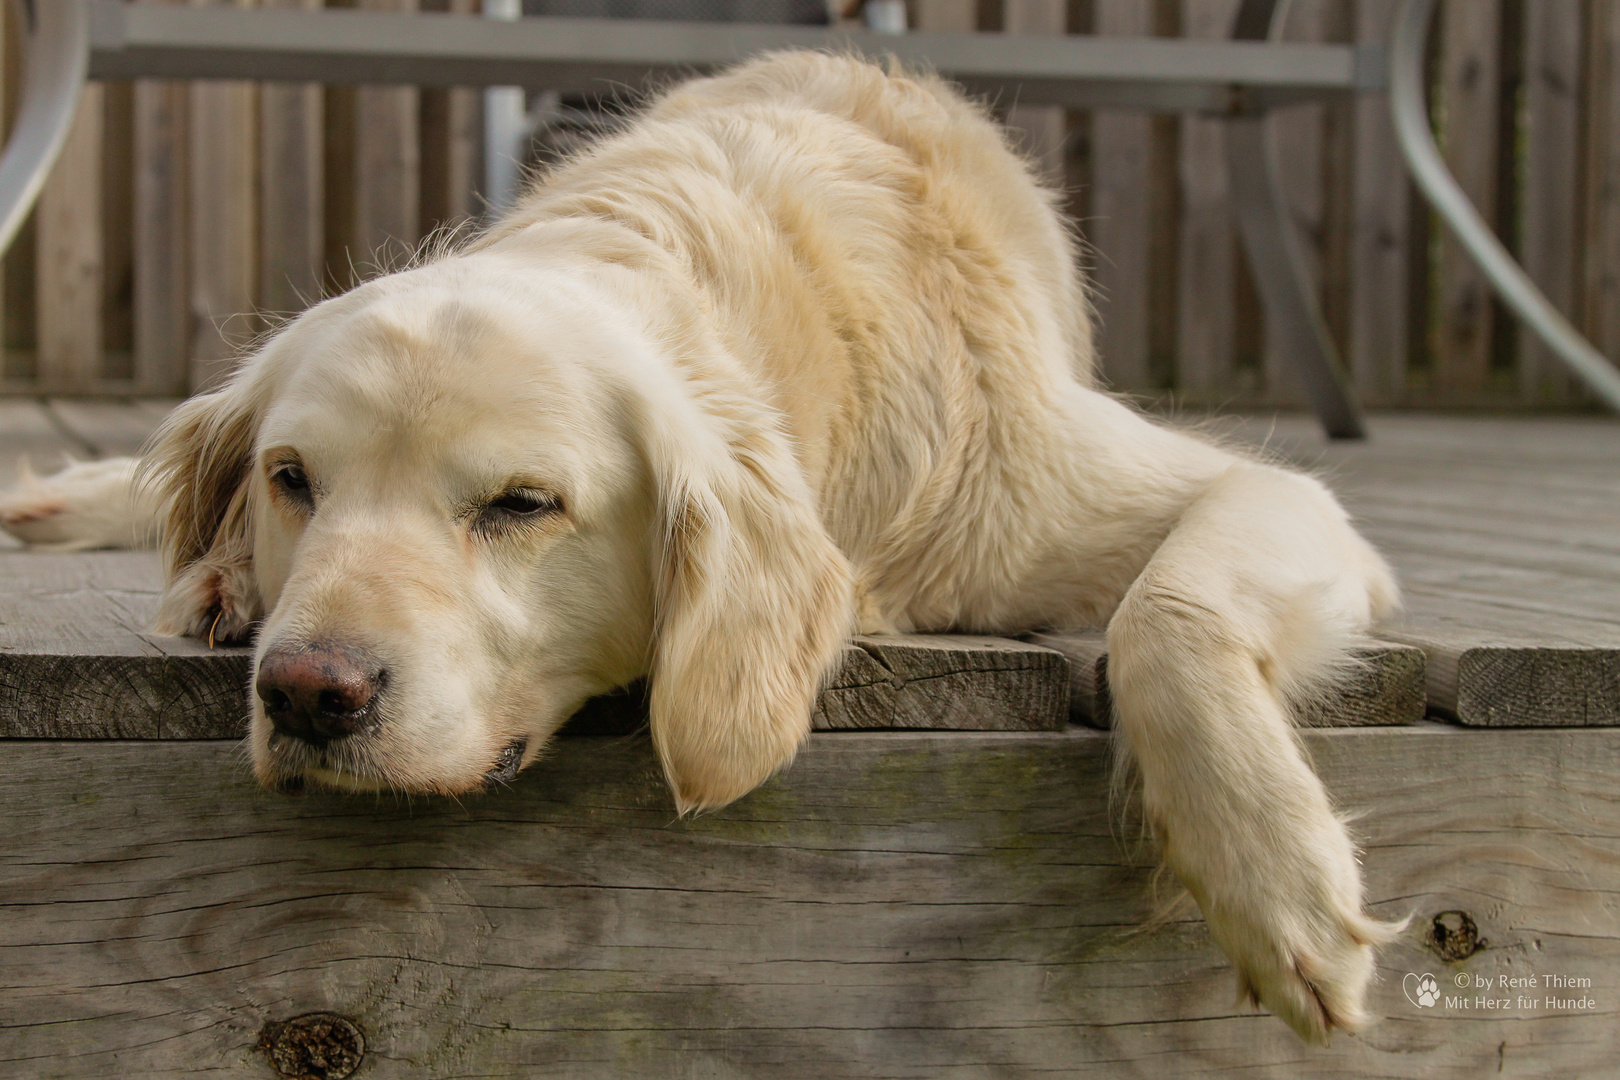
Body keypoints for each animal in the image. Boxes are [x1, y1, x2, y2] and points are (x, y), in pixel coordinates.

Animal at [0, 52, 1399, 1049]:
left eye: (521, 504)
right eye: (294, 481)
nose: (306, 696)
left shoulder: (1207, 489)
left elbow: (1167, 611)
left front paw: (1275, 877)